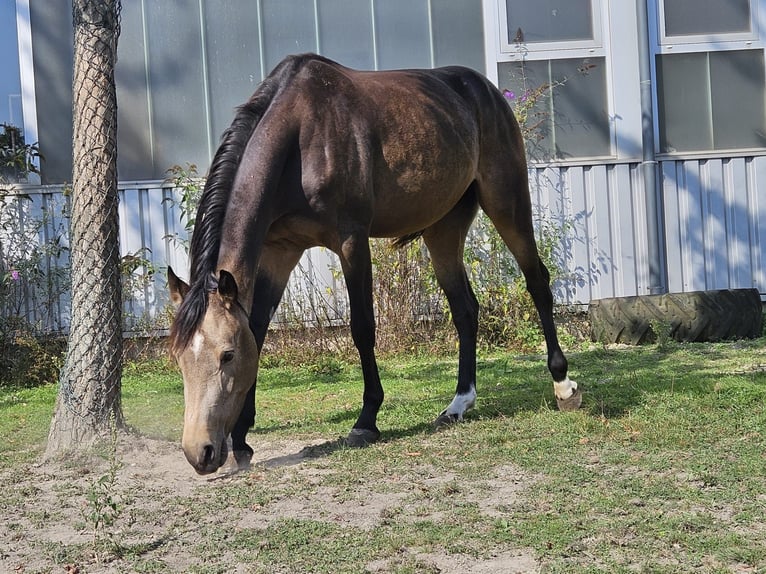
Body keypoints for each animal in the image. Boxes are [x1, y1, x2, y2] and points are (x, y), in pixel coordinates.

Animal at [168, 53, 584, 476]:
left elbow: (362, 328)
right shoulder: (279, 251)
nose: (200, 452)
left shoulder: (351, 242)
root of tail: (485, 89)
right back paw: (458, 404)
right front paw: (241, 440)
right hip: (443, 228)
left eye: (227, 355)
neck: (300, 137)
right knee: (465, 309)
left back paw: (563, 385)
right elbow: (257, 329)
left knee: (537, 282)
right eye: (179, 359)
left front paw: (365, 422)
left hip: (506, 200)